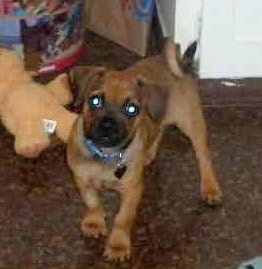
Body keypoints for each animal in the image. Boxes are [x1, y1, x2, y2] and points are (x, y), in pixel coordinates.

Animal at [66, 38, 221, 260]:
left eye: (131, 109)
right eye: (95, 101)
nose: (108, 125)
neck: (106, 154)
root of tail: (176, 64)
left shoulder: (132, 190)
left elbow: (123, 219)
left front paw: (118, 246)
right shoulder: (82, 180)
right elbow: (93, 203)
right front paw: (94, 223)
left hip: (192, 124)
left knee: (203, 157)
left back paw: (210, 188)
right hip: (160, 119)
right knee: (159, 131)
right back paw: (149, 154)